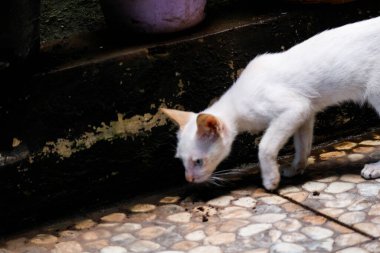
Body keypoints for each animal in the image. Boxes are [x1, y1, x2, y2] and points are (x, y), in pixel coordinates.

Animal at [163, 16, 380, 190]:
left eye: (198, 161)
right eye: (181, 161)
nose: (189, 179)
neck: (236, 103)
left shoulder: (294, 109)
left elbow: (264, 147)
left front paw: (270, 179)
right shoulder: (306, 111)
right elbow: (303, 145)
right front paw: (295, 168)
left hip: (375, 90)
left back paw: (374, 169)